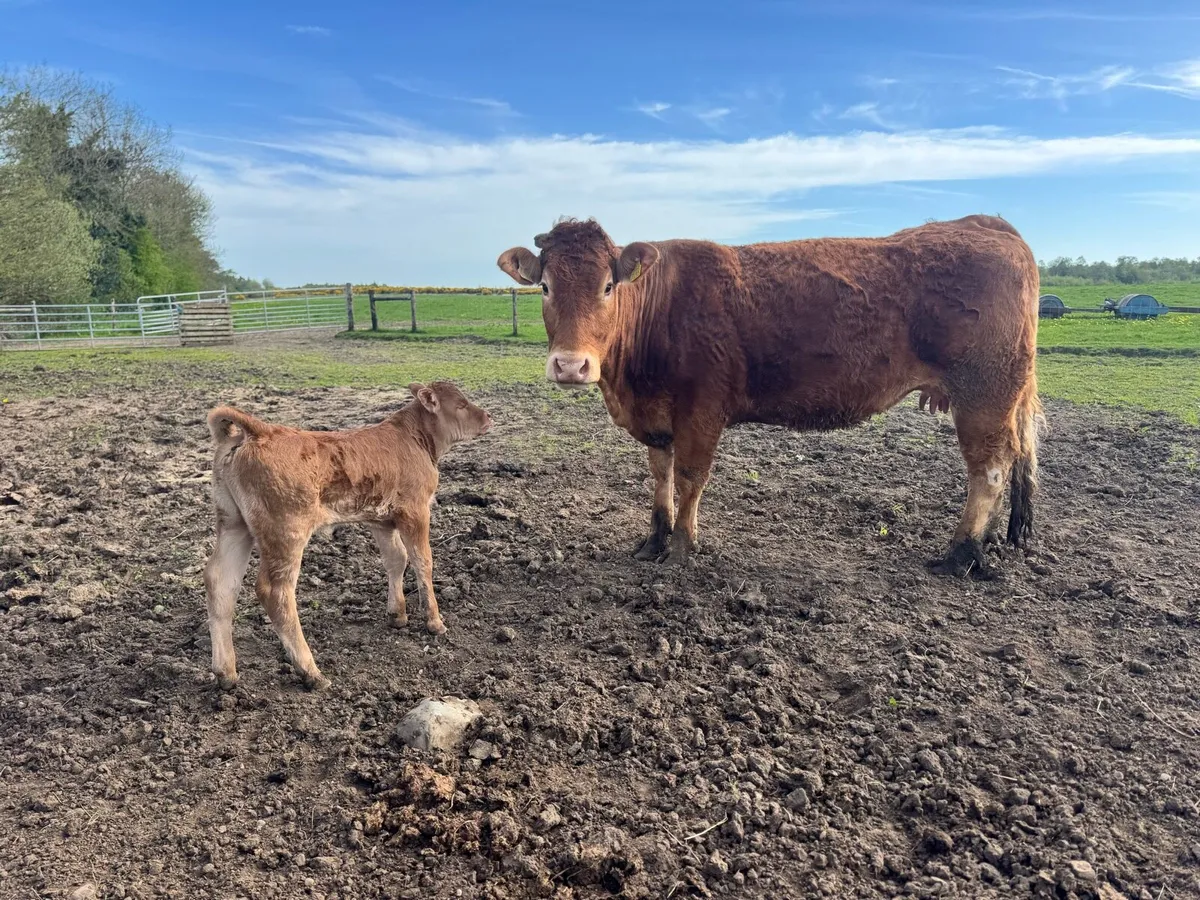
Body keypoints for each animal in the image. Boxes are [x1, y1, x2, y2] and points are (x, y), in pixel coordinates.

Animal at [202, 382, 492, 691]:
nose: (487, 416)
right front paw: (435, 622)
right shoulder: (416, 510)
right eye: (461, 404)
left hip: (233, 522)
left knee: (220, 581)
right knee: (275, 591)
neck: (414, 438)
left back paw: (226, 673)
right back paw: (311, 672)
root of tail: (261, 430)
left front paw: (397, 614)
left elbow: (397, 559)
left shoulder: (380, 520)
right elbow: (422, 561)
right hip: (285, 530)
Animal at [498, 215, 1043, 578]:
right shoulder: (658, 418)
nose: (571, 365)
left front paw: (682, 548)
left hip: (985, 394)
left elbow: (690, 478)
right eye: (544, 286)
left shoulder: (702, 410)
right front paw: (653, 540)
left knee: (990, 470)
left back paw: (961, 553)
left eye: (609, 286)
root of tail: (987, 225)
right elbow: (660, 477)